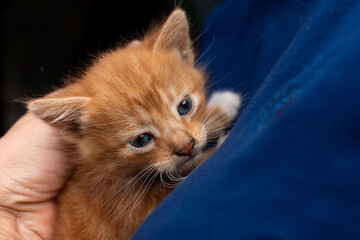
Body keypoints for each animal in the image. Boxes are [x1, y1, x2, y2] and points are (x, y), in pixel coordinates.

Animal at [26, 8, 240, 239]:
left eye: (185, 105)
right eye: (141, 140)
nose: (186, 147)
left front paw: (220, 107)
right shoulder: (133, 214)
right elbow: (188, 175)